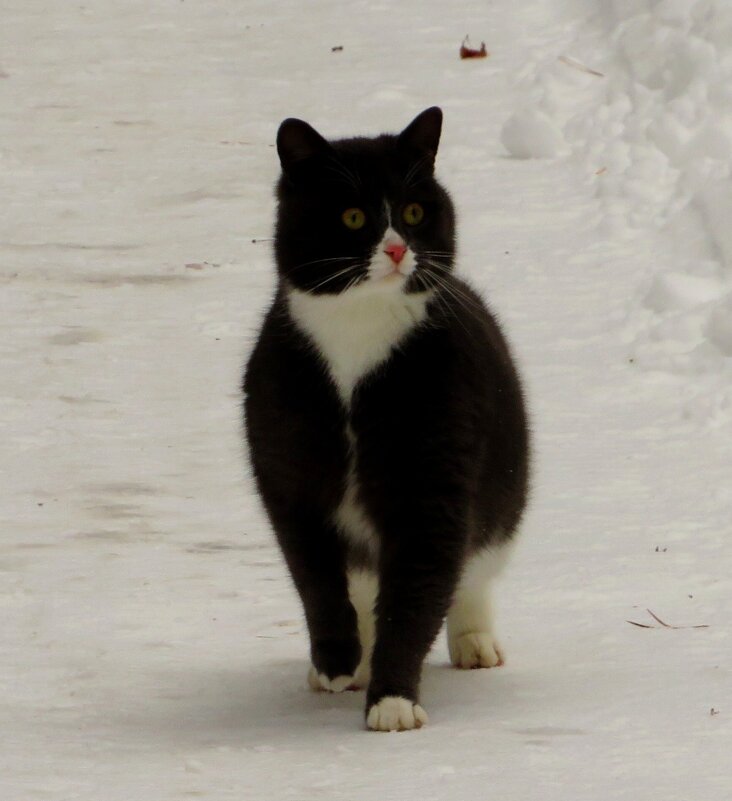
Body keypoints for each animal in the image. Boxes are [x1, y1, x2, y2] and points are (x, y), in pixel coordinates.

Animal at [243, 106, 528, 732]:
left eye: (415, 212)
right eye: (352, 216)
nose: (397, 249)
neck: (358, 332)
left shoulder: (433, 478)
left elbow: (418, 590)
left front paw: (394, 699)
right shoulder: (289, 473)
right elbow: (315, 576)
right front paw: (336, 659)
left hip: (502, 489)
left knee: (474, 568)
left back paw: (472, 642)